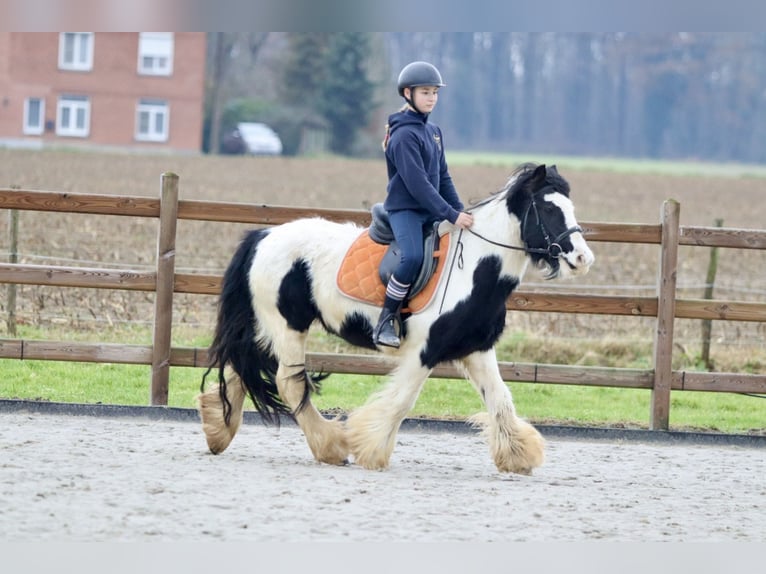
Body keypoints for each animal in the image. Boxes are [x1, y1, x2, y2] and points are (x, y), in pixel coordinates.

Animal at [198, 163, 592, 476]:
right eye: (548, 208)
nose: (583, 258)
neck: (474, 269)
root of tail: (264, 235)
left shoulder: (477, 350)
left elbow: (500, 398)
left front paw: (518, 455)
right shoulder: (424, 352)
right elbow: (402, 401)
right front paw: (370, 450)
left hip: (267, 327)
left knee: (242, 366)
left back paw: (219, 432)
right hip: (287, 327)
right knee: (288, 382)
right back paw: (331, 446)